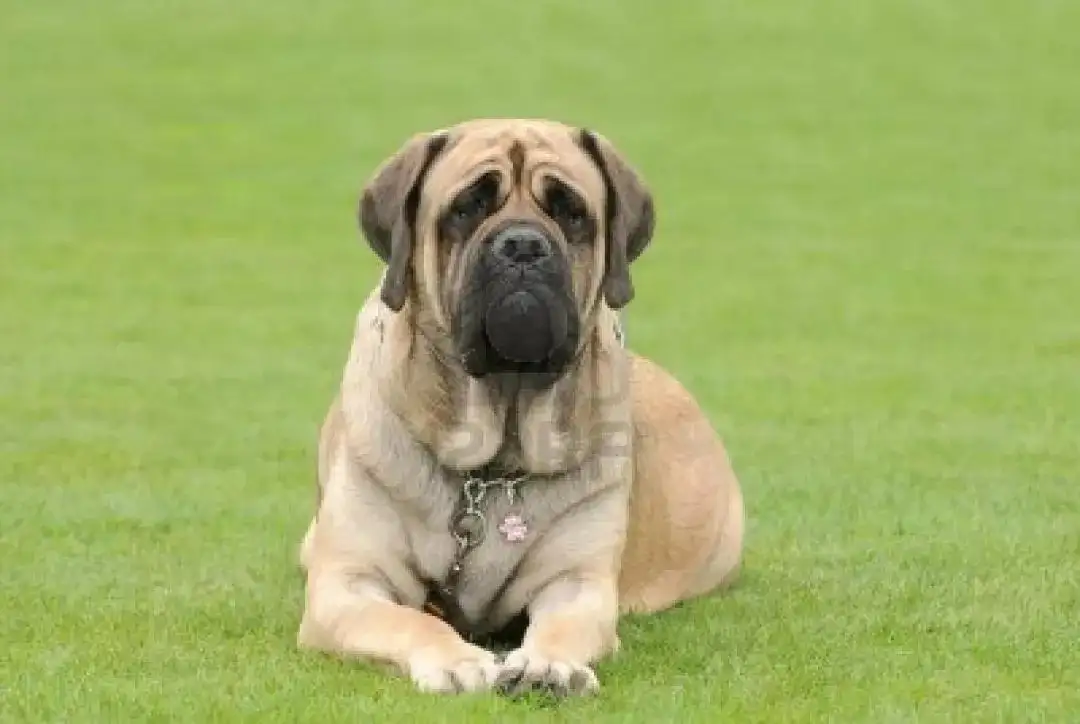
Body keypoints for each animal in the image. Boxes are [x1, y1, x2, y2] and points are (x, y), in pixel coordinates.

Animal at [300, 117, 747, 695]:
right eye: (467, 207)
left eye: (571, 212)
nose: (523, 245)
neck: (491, 465)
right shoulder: (346, 584)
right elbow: (412, 619)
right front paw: (455, 659)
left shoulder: (578, 584)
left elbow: (561, 626)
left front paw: (546, 665)